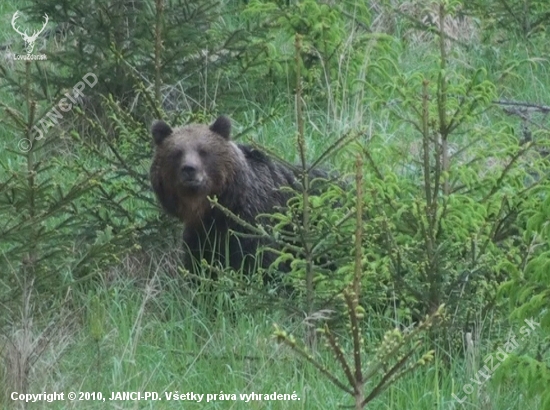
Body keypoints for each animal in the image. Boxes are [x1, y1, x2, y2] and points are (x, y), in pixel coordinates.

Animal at [151, 115, 324, 278]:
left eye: (203, 151)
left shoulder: (254, 225)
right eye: (177, 153)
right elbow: (199, 267)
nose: (189, 169)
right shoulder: (200, 236)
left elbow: (263, 263)